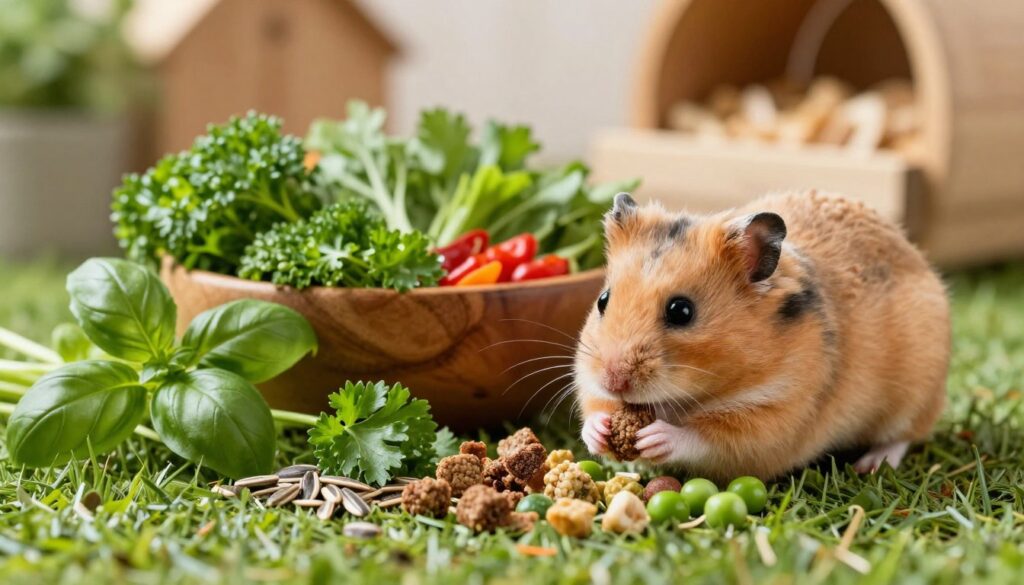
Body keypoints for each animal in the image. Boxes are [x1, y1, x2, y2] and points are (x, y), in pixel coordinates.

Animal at [576, 190, 949, 481]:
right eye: (603, 300)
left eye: (681, 311)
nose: (613, 380)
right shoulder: (587, 380)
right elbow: (593, 407)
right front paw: (599, 431)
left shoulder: (770, 419)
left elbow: (703, 438)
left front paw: (655, 437)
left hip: (918, 394)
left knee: (904, 436)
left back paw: (871, 465)